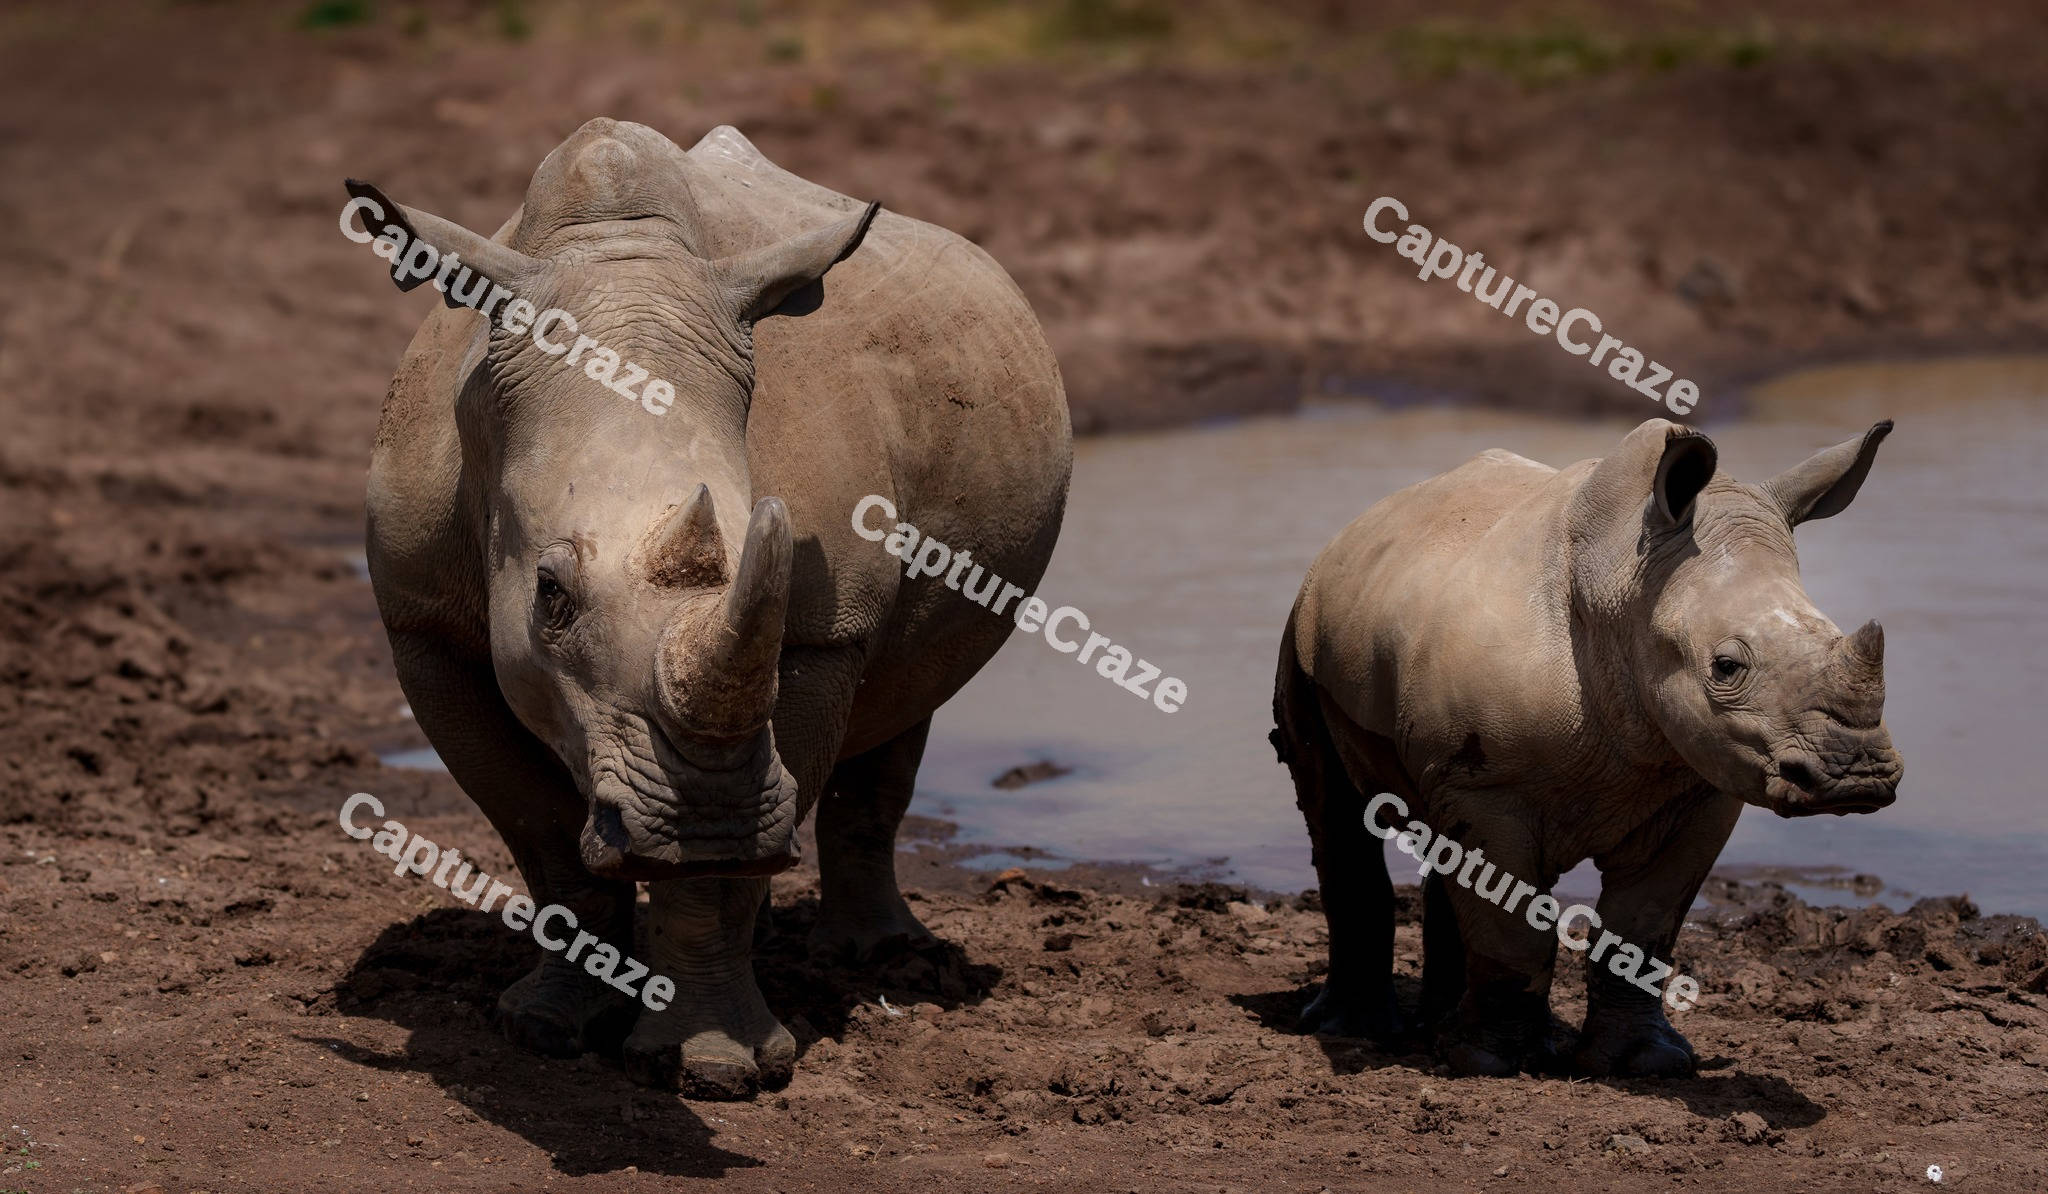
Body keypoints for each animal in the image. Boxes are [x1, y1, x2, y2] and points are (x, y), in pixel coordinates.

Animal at [352, 119, 1071, 1096]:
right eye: (550, 596)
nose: (713, 822)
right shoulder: (422, 626)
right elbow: (543, 837)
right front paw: (544, 1027)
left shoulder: (820, 634)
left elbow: (716, 873)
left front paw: (714, 1066)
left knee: (903, 703)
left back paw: (883, 960)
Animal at [1272, 418, 1900, 1077]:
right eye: (1726, 667)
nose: (1858, 777)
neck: (1629, 589)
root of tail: (1358, 526)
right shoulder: (1488, 784)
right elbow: (1511, 928)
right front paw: (1491, 1063)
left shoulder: (1703, 790)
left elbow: (1645, 925)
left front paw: (1647, 1061)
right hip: (1304, 626)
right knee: (1335, 812)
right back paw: (1360, 1030)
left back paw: (1440, 1027)